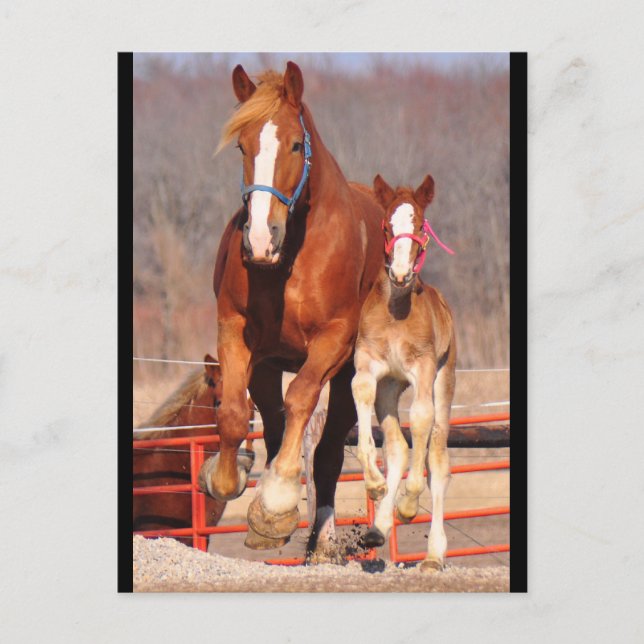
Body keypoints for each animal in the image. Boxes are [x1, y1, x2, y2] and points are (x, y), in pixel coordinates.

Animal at [199, 62, 385, 556]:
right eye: (242, 146)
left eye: (296, 145)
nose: (261, 240)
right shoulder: (236, 332)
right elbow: (232, 414)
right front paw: (225, 480)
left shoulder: (333, 341)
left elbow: (300, 397)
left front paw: (276, 502)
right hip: (266, 366)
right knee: (275, 425)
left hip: (348, 377)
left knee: (327, 452)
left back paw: (320, 538)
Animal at [351, 174, 457, 571]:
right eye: (386, 225)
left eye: (420, 225)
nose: (399, 274)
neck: (397, 309)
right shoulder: (369, 365)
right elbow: (360, 392)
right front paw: (374, 483)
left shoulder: (423, 367)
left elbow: (422, 418)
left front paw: (409, 503)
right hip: (391, 387)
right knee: (396, 446)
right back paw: (377, 528)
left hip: (444, 377)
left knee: (438, 455)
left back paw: (433, 555)